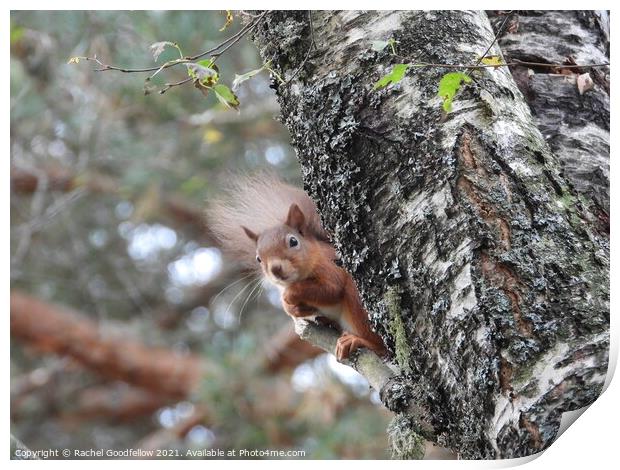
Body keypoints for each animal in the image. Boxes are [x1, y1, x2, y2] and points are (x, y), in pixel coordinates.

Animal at [208, 174, 386, 362]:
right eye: (258, 258)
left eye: (293, 241)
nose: (275, 269)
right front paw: (291, 308)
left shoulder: (330, 267)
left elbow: (330, 288)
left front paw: (289, 296)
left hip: (357, 301)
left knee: (380, 345)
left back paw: (359, 340)